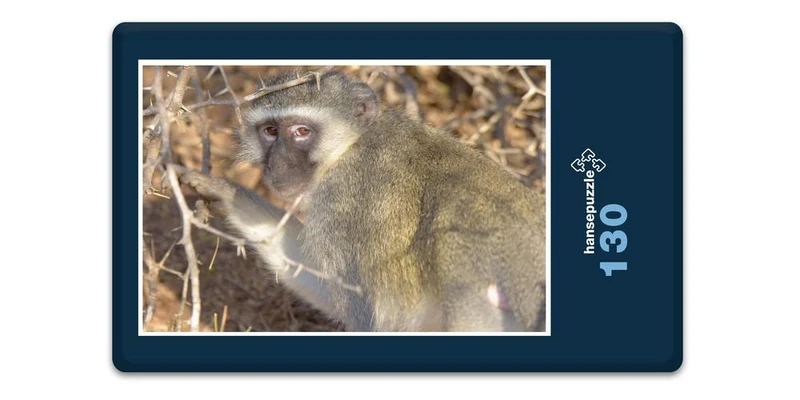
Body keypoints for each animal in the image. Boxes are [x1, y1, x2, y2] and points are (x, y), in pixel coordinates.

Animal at [180, 69, 546, 332]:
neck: (349, 147)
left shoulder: (341, 204)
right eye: (270, 131)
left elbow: (361, 312)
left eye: (301, 131)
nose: (278, 164)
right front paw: (225, 191)